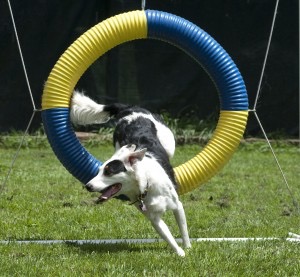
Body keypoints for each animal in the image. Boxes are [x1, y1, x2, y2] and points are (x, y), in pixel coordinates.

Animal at [70, 90, 191, 254]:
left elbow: (183, 229)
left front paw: (187, 248)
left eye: (109, 172)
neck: (146, 185)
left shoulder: (177, 205)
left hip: (168, 141)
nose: (88, 186)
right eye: (99, 170)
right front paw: (180, 253)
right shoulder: (154, 218)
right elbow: (168, 236)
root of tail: (130, 109)